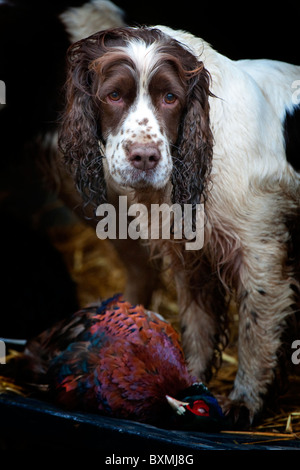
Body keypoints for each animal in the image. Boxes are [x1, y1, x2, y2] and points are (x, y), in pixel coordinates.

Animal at [58, 15, 300, 426]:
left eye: (170, 98)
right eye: (114, 95)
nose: (144, 157)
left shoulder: (261, 253)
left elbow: (255, 333)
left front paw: (244, 402)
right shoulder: (190, 259)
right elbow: (196, 329)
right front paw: (189, 385)